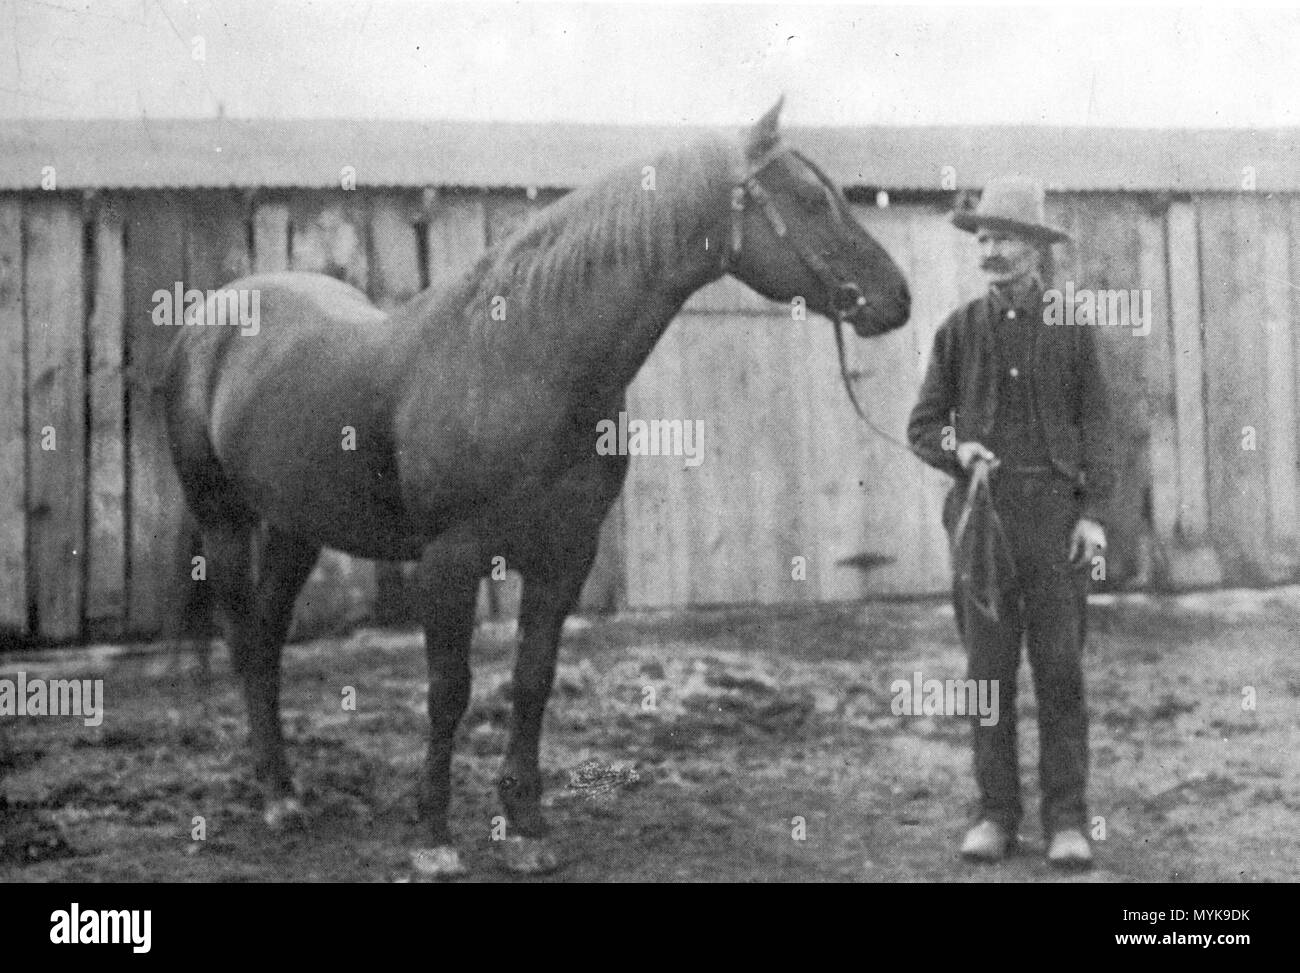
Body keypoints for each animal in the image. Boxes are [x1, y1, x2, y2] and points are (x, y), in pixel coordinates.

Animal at [160, 97, 911, 877]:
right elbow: (448, 690)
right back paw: (277, 797)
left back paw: (288, 788)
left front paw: (525, 828)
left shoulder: (565, 555)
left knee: (269, 641)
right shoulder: (450, 560)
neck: (524, 358)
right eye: (811, 200)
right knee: (246, 640)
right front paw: (434, 836)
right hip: (223, 521)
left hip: (295, 526)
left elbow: (532, 681)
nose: (897, 298)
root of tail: (213, 317)